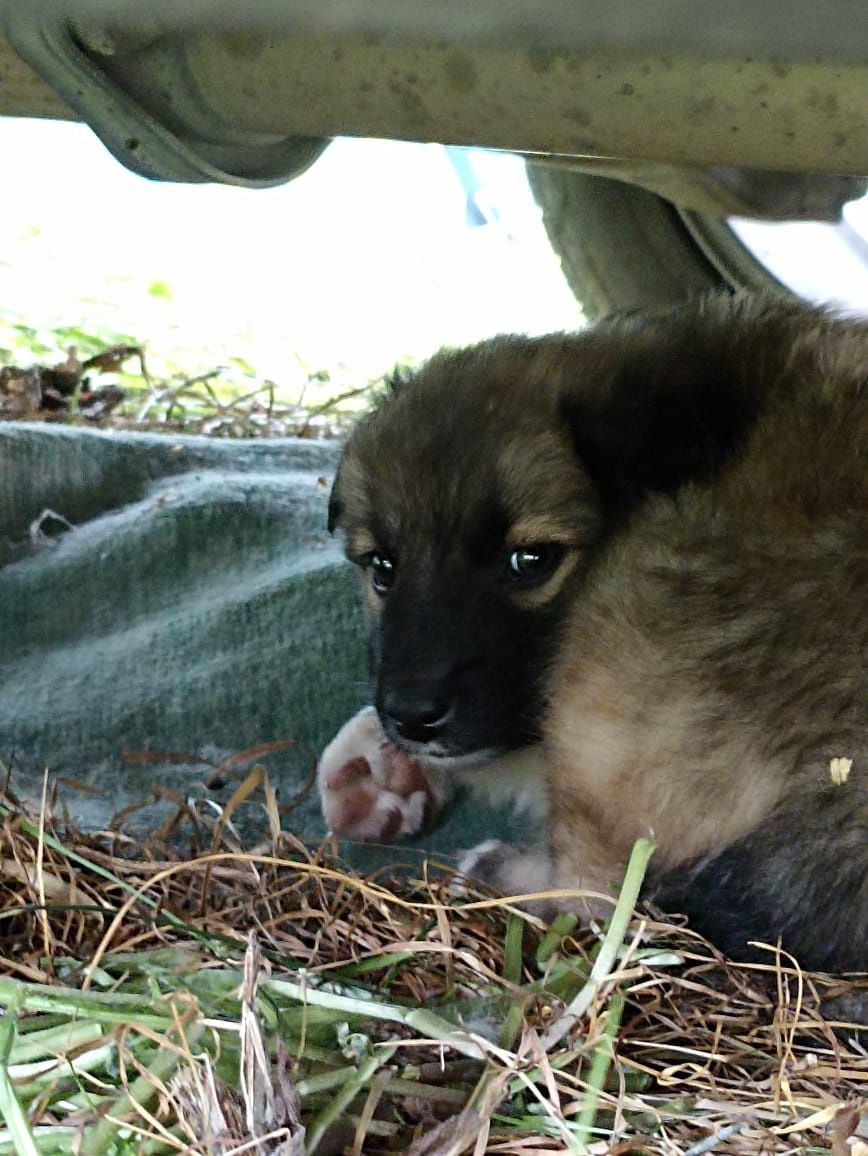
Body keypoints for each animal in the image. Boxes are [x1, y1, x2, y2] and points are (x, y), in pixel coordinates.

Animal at [318, 293, 868, 971]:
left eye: (531, 561)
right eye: (382, 568)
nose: (413, 717)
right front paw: (379, 767)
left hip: (619, 632)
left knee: (596, 893)